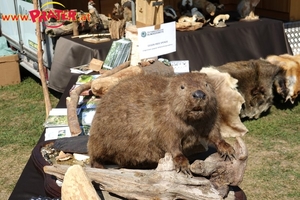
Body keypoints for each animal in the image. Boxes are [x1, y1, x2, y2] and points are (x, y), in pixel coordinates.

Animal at [88, 72, 236, 174]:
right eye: (182, 87)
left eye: (206, 84)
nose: (199, 94)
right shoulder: (163, 120)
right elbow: (170, 142)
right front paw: (183, 164)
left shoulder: (210, 116)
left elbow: (214, 133)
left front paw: (228, 149)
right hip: (97, 138)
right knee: (94, 155)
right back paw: (100, 166)